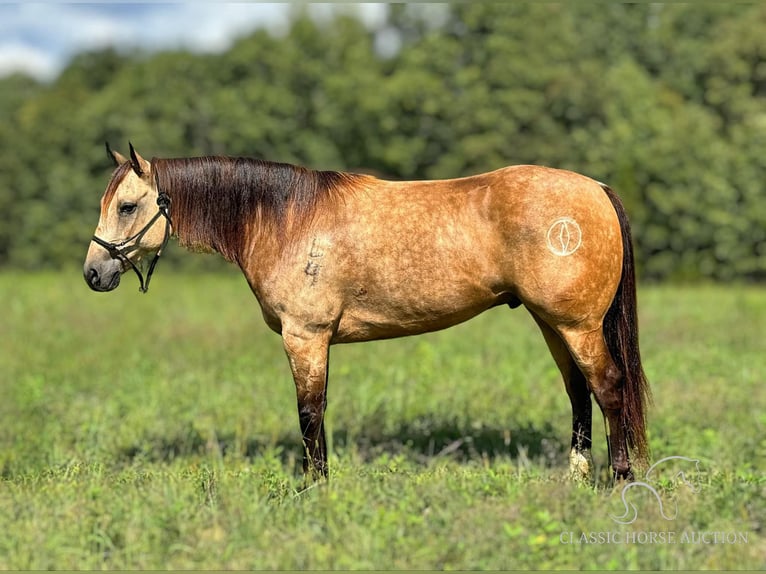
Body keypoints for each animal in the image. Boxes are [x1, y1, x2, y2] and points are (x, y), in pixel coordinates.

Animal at [84, 144, 652, 482]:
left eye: (127, 206)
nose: (93, 273)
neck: (287, 219)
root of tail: (596, 189)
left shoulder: (305, 336)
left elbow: (309, 413)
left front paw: (313, 488)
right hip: (552, 323)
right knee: (578, 393)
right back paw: (577, 477)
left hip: (578, 325)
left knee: (609, 388)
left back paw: (619, 479)